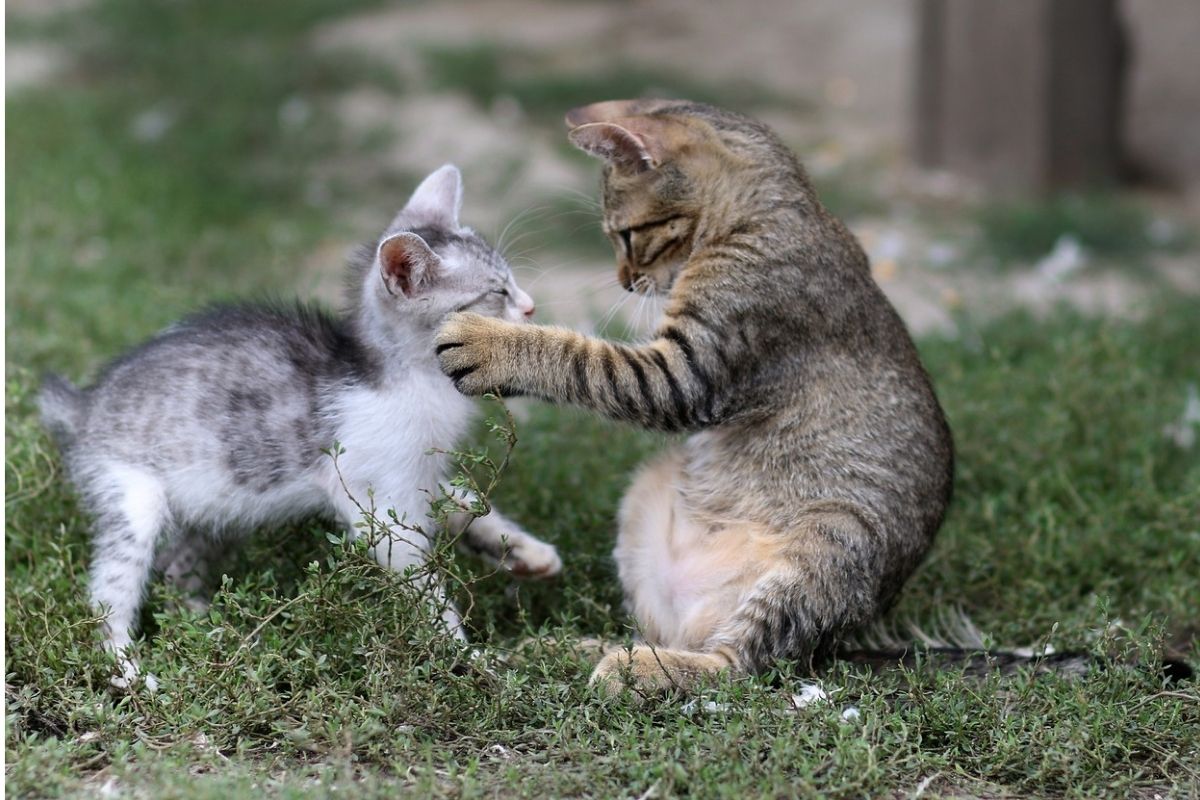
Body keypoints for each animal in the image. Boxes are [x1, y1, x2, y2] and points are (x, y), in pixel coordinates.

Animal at [38, 164, 561, 690]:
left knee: (176, 568)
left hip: (220, 505)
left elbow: (471, 506)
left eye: (512, 282)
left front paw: (526, 552)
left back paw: (211, 626)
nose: (532, 306)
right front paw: (470, 657)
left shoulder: (420, 477)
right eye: (497, 293)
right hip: (133, 499)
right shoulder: (380, 505)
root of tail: (85, 405)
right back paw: (129, 670)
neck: (406, 379)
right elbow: (426, 589)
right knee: (107, 594)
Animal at [436, 98, 950, 690]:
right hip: (648, 496)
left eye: (626, 235)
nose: (626, 279)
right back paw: (563, 648)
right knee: (662, 638)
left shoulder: (684, 371)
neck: (765, 215)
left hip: (831, 541)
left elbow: (580, 357)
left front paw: (487, 341)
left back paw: (632, 669)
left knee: (735, 667)